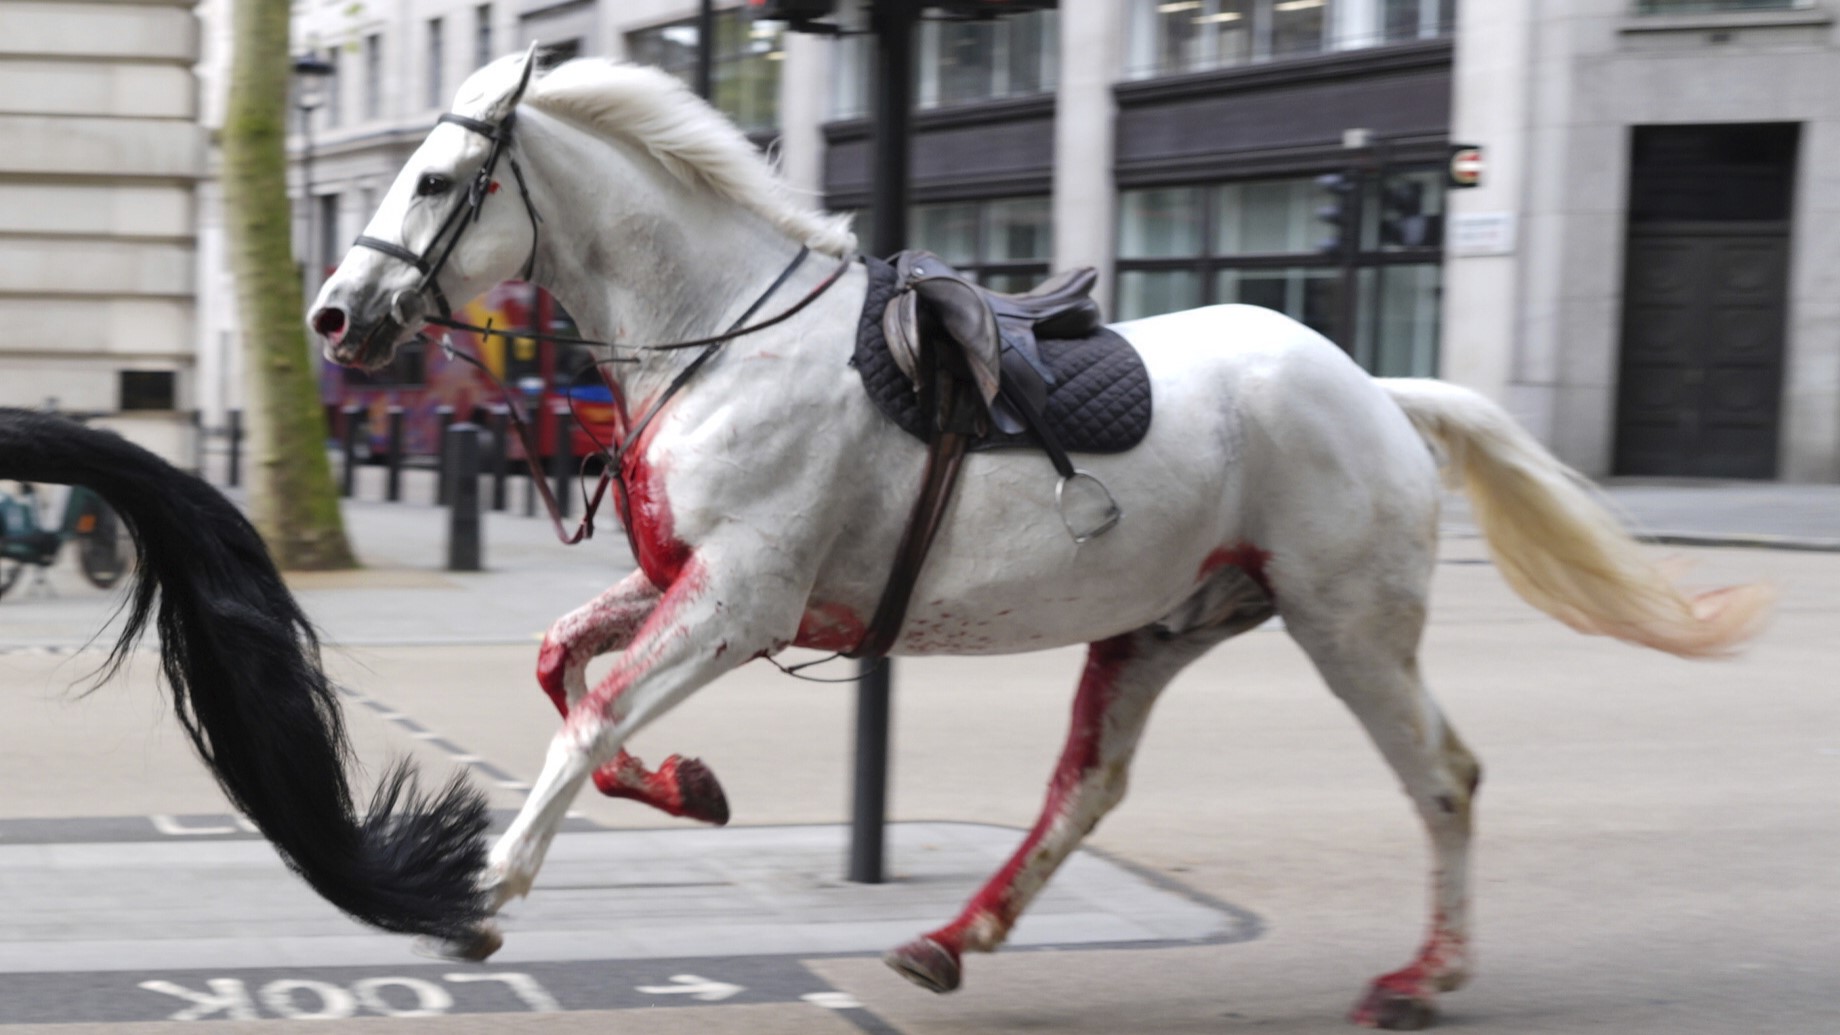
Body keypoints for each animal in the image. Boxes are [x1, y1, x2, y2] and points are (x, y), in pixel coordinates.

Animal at [6, 49, 1766, 1031]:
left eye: (442, 179)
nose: (331, 317)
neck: (718, 333)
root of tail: (1376, 385)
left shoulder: (739, 598)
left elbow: (588, 714)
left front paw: (487, 885)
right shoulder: (686, 583)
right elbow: (566, 673)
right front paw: (687, 787)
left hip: (1347, 620)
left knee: (1443, 777)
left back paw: (1421, 978)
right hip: (1163, 623)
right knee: (1088, 788)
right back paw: (946, 936)